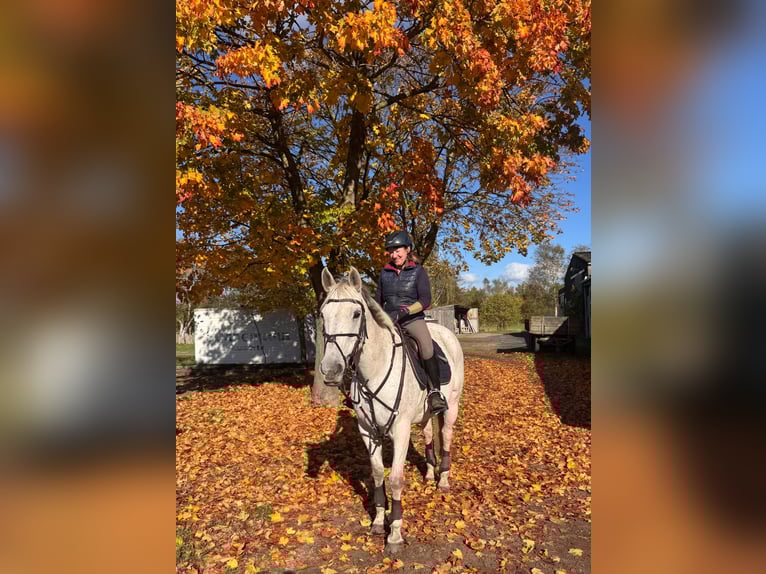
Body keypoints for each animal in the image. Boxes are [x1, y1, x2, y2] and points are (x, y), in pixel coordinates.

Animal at [318, 267, 464, 549]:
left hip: (451, 406)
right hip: (424, 414)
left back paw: (443, 478)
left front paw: (395, 530)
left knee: (446, 435)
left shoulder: (401, 429)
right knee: (428, 434)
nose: (331, 370)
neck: (375, 369)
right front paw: (377, 520)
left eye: (356, 314)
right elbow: (377, 474)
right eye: (323, 314)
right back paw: (430, 473)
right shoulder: (368, 431)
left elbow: (395, 479)